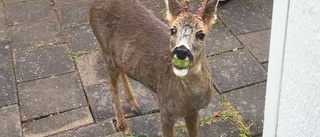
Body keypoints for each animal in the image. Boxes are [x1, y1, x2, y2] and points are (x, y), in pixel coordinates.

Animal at [89, 0, 220, 136]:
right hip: (106, 51)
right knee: (112, 87)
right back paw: (124, 127)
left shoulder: (193, 112)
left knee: (121, 69)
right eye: (173, 30)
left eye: (201, 34)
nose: (181, 51)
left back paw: (134, 106)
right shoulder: (166, 113)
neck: (190, 101)